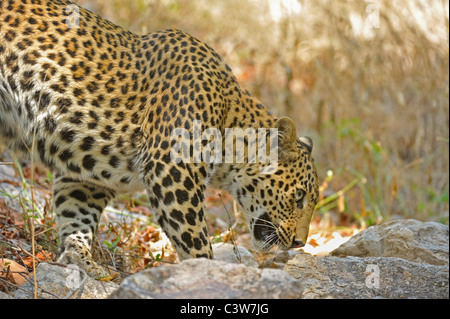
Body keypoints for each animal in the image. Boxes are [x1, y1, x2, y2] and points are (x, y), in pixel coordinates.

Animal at [1, 0, 322, 280]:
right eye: (298, 196)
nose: (299, 243)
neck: (229, 118)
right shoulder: (172, 171)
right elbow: (195, 239)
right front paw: (206, 274)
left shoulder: (87, 178)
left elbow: (76, 215)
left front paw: (80, 260)